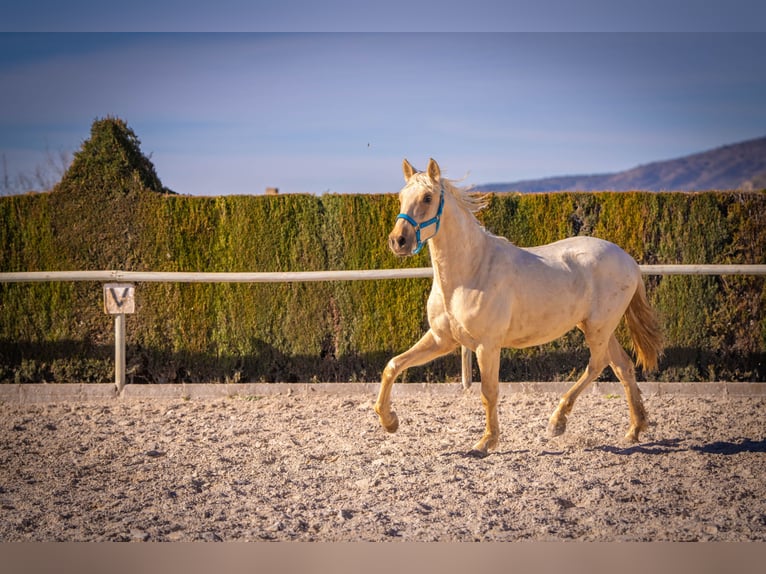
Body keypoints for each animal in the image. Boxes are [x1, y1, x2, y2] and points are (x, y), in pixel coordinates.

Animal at [376, 160, 664, 456]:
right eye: (401, 197)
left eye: (427, 197)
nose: (398, 241)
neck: (469, 272)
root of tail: (629, 260)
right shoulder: (441, 340)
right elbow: (392, 365)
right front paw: (390, 422)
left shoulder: (487, 345)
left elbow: (489, 392)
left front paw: (486, 442)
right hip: (600, 328)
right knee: (622, 366)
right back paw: (634, 430)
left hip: (598, 328)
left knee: (597, 365)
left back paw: (557, 423)